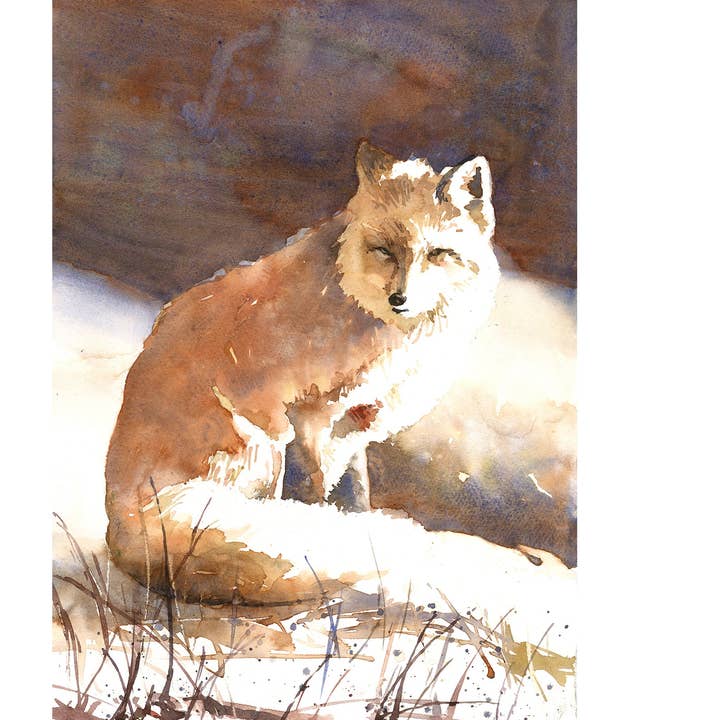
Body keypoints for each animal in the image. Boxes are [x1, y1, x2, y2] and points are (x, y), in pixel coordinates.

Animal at [105, 140, 501, 606]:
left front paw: (357, 521)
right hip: (264, 443)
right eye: (384, 250)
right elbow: (315, 490)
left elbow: (357, 489)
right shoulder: (310, 413)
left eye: (438, 253)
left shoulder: (357, 422)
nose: (399, 299)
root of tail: (126, 516)